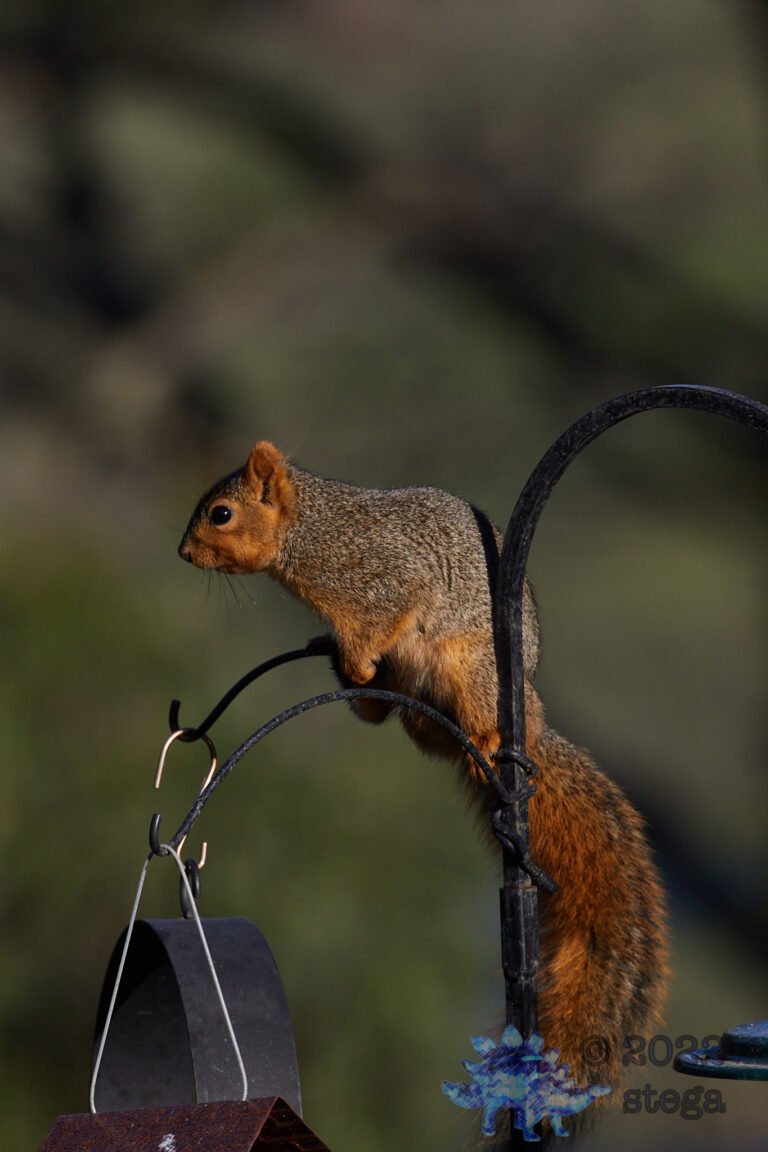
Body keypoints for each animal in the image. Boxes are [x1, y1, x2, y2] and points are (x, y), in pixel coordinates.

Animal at [179, 439, 669, 1127]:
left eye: (221, 514)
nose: (183, 552)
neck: (310, 535)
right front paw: (350, 664)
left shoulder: (384, 581)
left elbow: (382, 616)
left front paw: (357, 659)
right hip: (420, 700)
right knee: (409, 723)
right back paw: (370, 699)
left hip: (474, 672)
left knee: (490, 720)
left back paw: (484, 739)